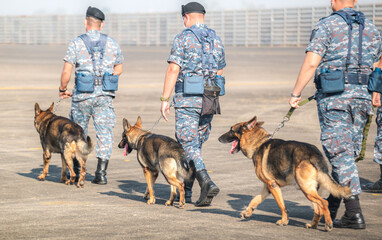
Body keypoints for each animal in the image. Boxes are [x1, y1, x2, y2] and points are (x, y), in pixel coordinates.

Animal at [219, 116, 350, 232]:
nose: (218, 138)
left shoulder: (272, 185)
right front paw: (248, 212)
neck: (258, 144)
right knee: (318, 208)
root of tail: (314, 154)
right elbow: (255, 199)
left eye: (231, 130)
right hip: (310, 189)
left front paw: (284, 221)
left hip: (305, 188)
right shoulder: (267, 186)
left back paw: (328, 224)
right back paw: (313, 225)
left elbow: (281, 205)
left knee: (324, 203)